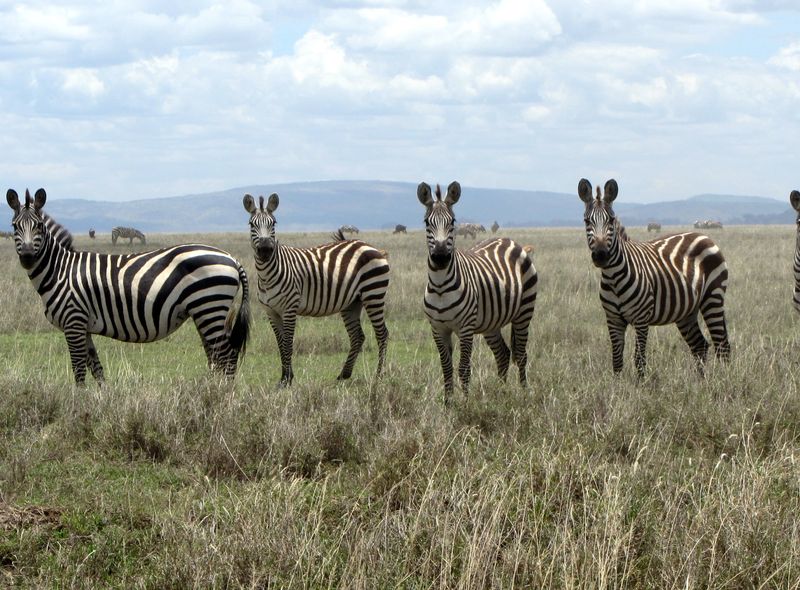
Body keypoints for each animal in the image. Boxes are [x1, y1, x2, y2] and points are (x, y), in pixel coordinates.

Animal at [7, 188, 250, 385]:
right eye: (14, 226)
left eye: (39, 226)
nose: (27, 257)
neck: (60, 271)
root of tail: (232, 258)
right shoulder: (83, 326)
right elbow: (96, 368)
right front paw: (100, 400)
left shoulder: (73, 321)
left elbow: (78, 370)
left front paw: (78, 404)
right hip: (204, 311)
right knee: (216, 357)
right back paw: (210, 393)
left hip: (209, 306)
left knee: (227, 357)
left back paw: (222, 398)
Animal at [243, 193, 389, 385]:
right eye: (251, 224)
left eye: (273, 223)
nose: (265, 250)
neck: (268, 275)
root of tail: (369, 246)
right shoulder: (271, 312)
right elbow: (280, 344)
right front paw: (284, 378)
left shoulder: (290, 308)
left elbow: (288, 344)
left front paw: (288, 380)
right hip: (352, 302)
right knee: (358, 336)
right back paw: (344, 375)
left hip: (374, 294)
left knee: (382, 334)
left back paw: (379, 376)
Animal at [417, 181, 538, 401]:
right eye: (426, 222)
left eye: (453, 222)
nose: (440, 257)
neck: (440, 287)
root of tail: (509, 240)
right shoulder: (438, 328)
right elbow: (446, 367)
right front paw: (448, 403)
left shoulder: (465, 328)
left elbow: (464, 368)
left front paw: (465, 403)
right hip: (491, 322)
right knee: (503, 354)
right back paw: (501, 392)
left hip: (524, 312)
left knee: (521, 354)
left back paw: (524, 392)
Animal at [579, 178, 730, 376]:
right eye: (587, 221)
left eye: (611, 220)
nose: (601, 255)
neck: (614, 278)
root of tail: (703, 235)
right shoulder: (613, 320)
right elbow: (617, 361)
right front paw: (617, 384)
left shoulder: (641, 319)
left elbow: (639, 359)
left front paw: (640, 384)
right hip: (687, 310)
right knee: (700, 345)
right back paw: (700, 380)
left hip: (713, 297)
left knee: (722, 346)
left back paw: (724, 380)